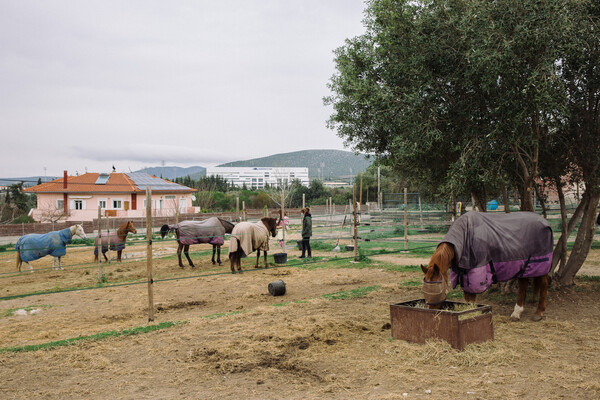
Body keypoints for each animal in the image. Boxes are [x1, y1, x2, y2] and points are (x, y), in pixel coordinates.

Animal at [422, 212, 552, 322]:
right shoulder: (464, 276)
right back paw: (517, 313)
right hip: (524, 266)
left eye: (440, 291)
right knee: (523, 284)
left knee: (544, 284)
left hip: (541, 266)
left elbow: (471, 300)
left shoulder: (474, 278)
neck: (464, 238)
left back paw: (538, 313)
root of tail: (545, 222)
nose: (431, 312)